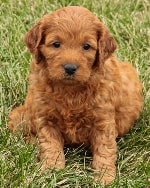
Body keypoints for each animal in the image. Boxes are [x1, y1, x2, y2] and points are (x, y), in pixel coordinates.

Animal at [7, 6, 142, 185]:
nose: (70, 68)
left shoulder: (103, 121)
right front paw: (51, 171)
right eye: (56, 44)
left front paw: (105, 178)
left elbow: (104, 150)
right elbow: (50, 145)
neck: (70, 91)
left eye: (86, 46)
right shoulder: (45, 118)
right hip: (21, 116)